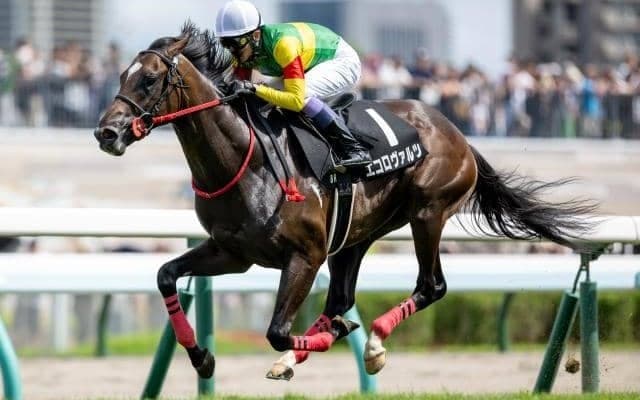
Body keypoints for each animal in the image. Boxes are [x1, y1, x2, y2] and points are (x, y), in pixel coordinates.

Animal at [94, 23, 596, 380]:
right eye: (121, 76)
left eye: (150, 79)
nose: (106, 132)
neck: (245, 160)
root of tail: (458, 134)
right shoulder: (232, 253)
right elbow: (165, 275)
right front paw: (202, 358)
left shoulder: (305, 255)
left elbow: (277, 331)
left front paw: (338, 336)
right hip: (355, 236)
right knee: (341, 297)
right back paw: (314, 352)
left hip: (428, 213)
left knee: (431, 286)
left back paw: (371, 343)